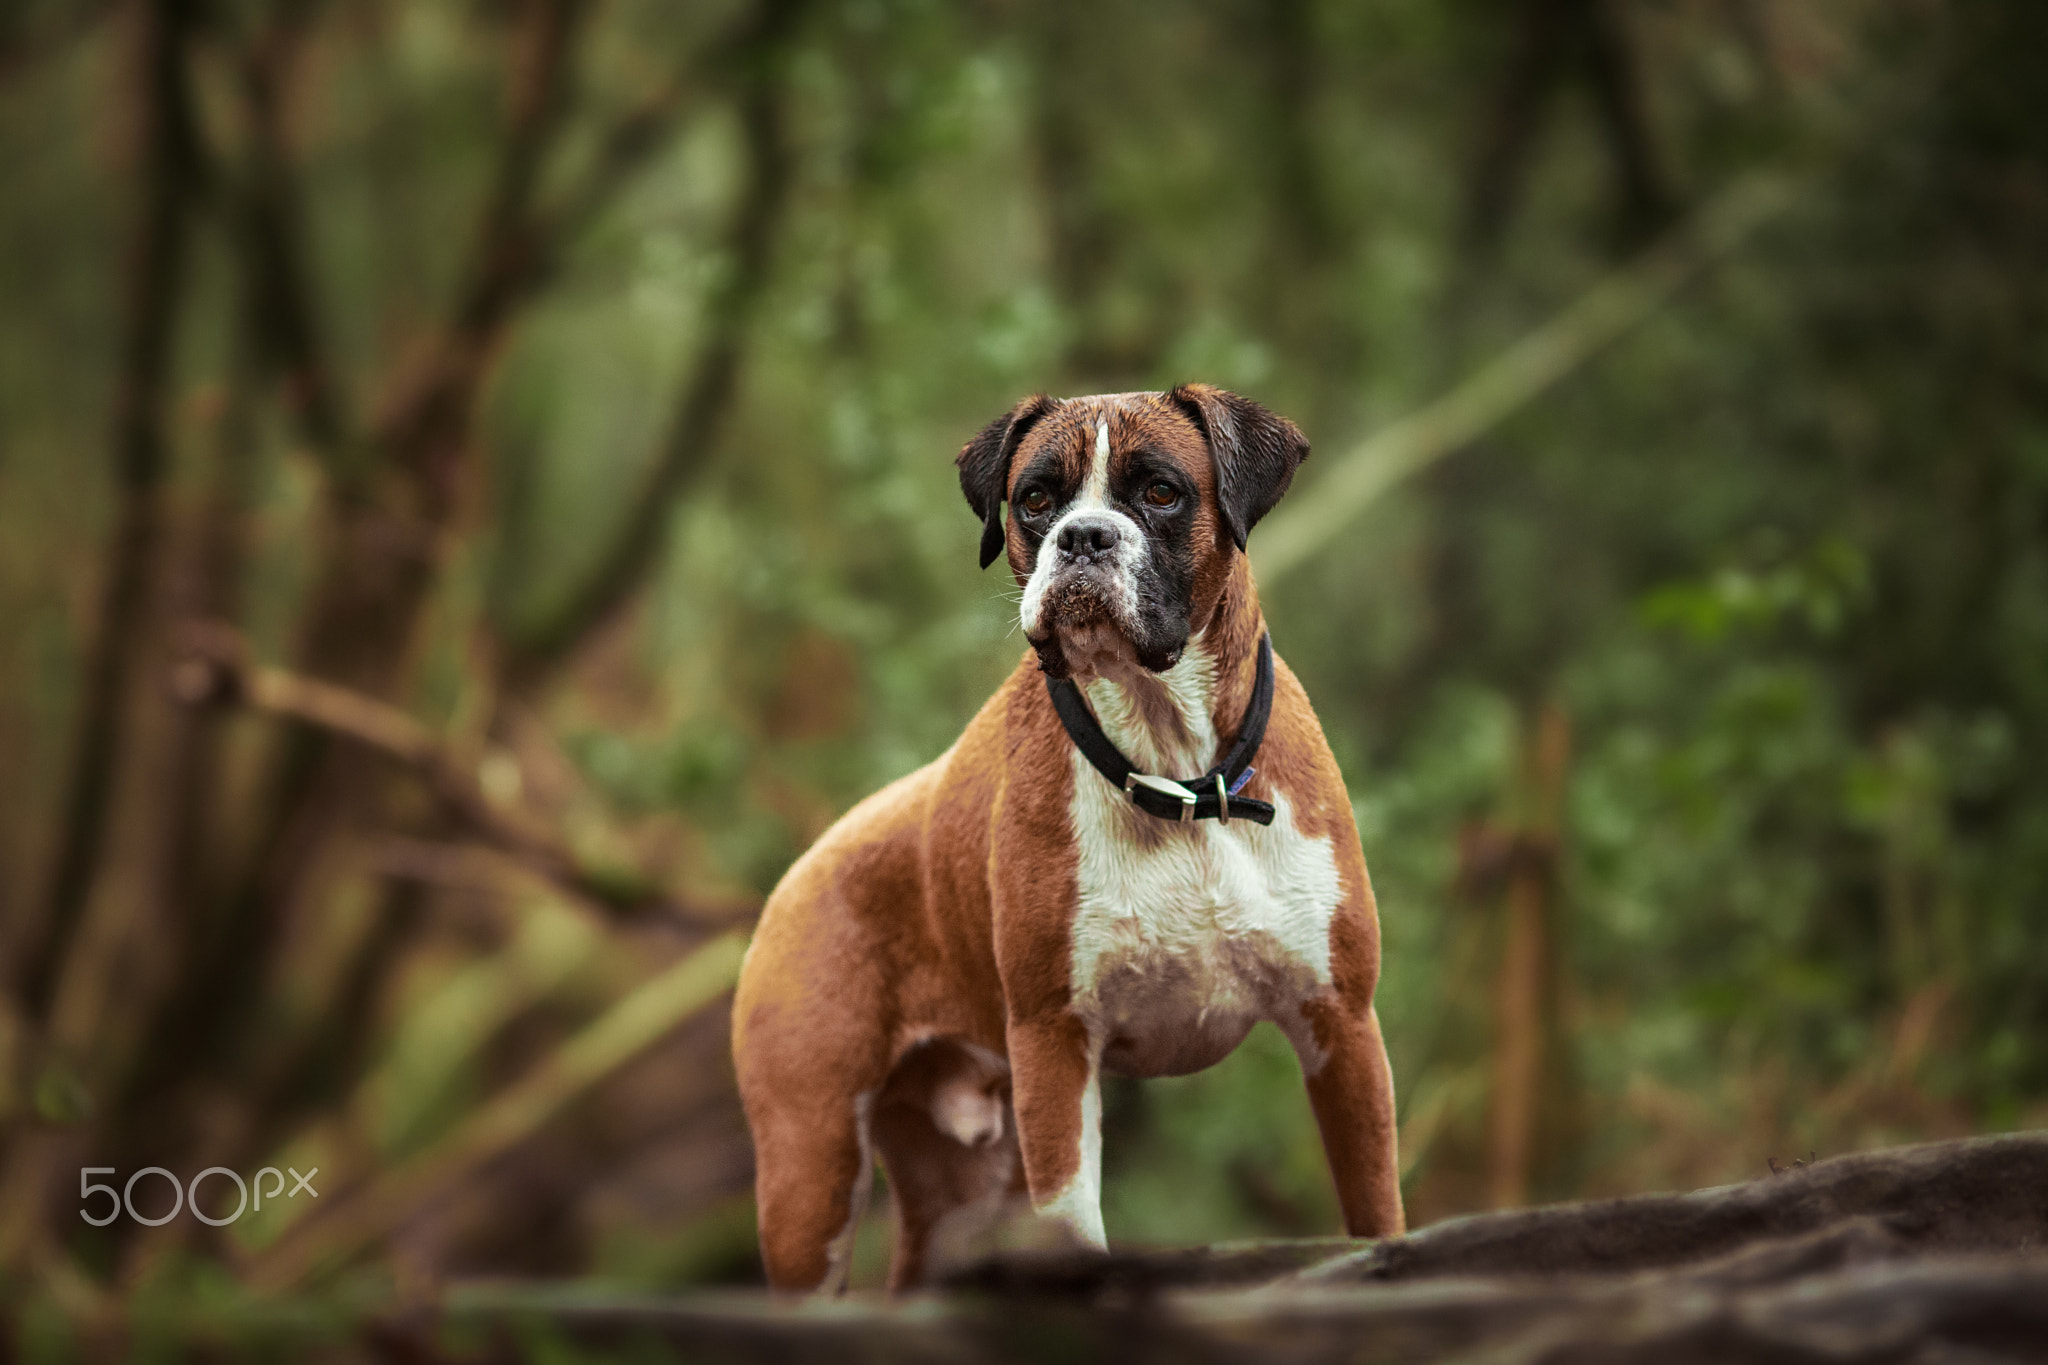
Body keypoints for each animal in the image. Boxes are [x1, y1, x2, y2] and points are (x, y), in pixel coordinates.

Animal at [737, 384, 1409, 1293]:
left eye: (1160, 491)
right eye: (1035, 500)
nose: (1083, 536)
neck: (1175, 772)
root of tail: (801, 870)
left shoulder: (1342, 1027)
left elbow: (1377, 1210)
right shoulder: (1055, 1048)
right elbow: (1075, 1228)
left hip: (960, 1183)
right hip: (812, 1174)